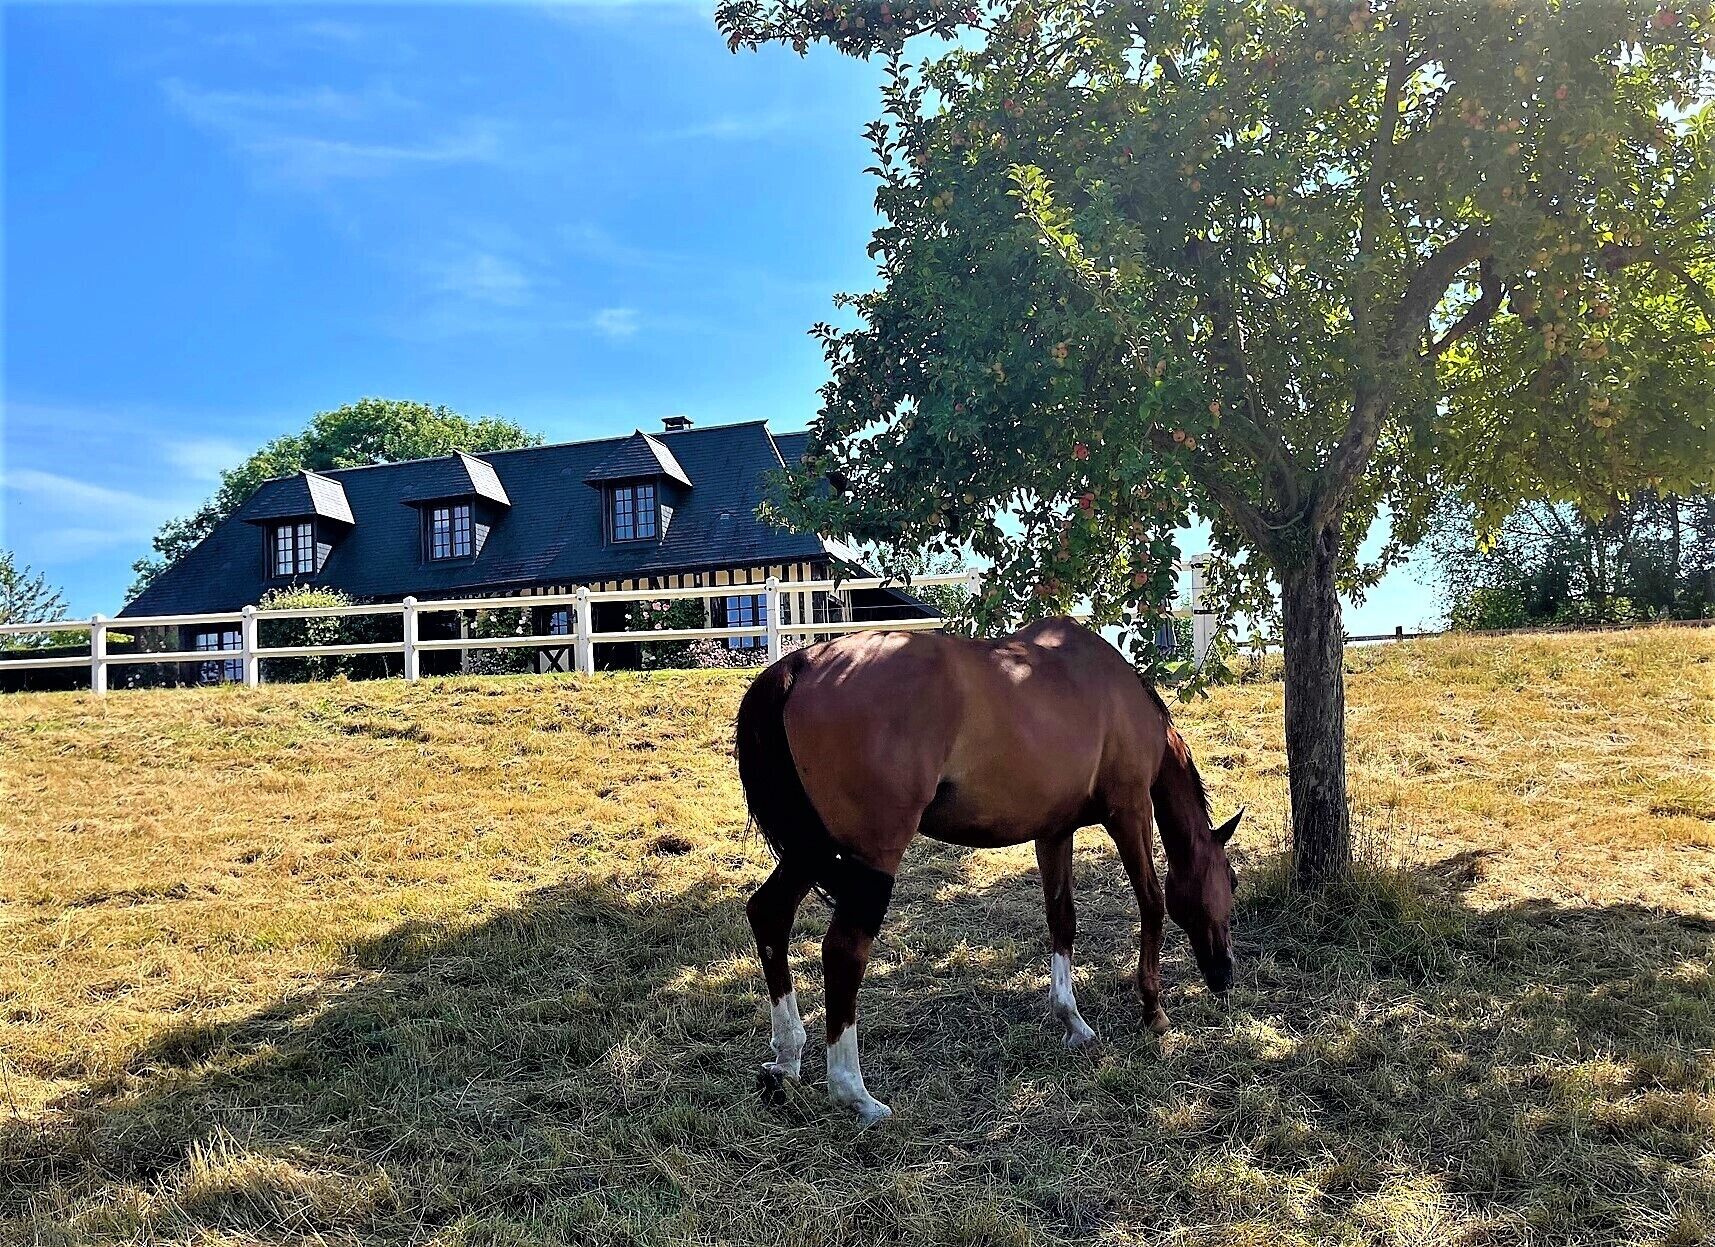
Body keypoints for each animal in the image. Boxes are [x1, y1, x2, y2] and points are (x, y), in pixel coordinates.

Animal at [735, 616, 1242, 1125]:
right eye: (1232, 881)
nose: (1225, 975)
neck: (1114, 690)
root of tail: (802, 664)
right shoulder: (1131, 812)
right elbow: (1152, 903)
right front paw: (1153, 1010)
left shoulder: (1054, 833)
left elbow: (1062, 920)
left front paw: (1072, 1020)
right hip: (868, 857)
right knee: (843, 951)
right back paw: (854, 1093)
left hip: (810, 848)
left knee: (769, 915)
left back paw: (786, 1059)